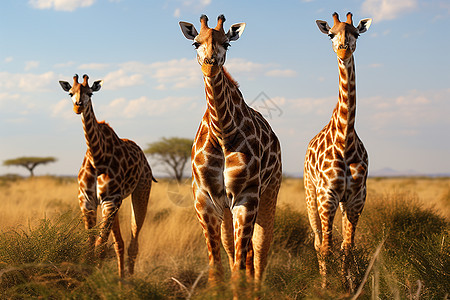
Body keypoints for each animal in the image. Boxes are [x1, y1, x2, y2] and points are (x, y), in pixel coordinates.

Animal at [58, 74, 156, 278]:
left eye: (90, 93)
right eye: (70, 92)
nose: (78, 106)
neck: (97, 157)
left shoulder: (110, 200)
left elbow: (100, 247)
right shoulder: (87, 201)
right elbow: (90, 247)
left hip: (141, 191)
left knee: (134, 242)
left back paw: (130, 281)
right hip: (115, 205)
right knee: (120, 243)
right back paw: (120, 279)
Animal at [179, 15, 282, 294]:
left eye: (227, 43)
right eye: (195, 43)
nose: (210, 64)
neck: (223, 132)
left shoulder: (247, 197)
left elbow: (238, 270)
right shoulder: (204, 199)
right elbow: (217, 270)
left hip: (269, 192)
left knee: (260, 250)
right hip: (226, 208)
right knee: (239, 252)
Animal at [302, 12, 372, 288]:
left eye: (357, 34)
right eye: (331, 34)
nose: (343, 49)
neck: (345, 140)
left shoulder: (356, 197)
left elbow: (347, 247)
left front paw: (347, 286)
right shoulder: (327, 194)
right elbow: (326, 247)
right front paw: (325, 288)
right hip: (310, 194)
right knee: (317, 241)